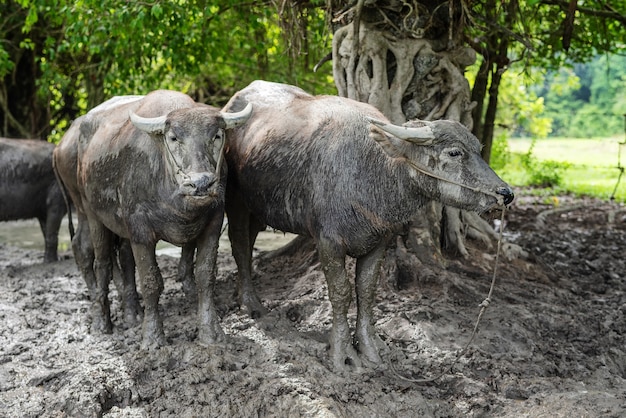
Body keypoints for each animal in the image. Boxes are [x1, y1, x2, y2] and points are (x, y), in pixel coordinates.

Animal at [53, 91, 252, 350]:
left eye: (217, 135)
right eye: (174, 137)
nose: (200, 183)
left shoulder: (213, 223)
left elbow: (205, 275)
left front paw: (211, 332)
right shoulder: (140, 231)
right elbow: (150, 281)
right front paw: (153, 338)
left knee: (123, 259)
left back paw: (132, 312)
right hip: (89, 211)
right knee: (97, 259)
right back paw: (101, 321)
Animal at [222, 80, 510, 370]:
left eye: (478, 150)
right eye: (454, 152)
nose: (505, 193)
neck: (373, 171)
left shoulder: (380, 241)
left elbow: (367, 291)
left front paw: (370, 348)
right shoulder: (328, 243)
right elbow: (341, 292)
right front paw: (343, 353)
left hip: (258, 209)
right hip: (236, 201)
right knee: (240, 246)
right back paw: (251, 304)